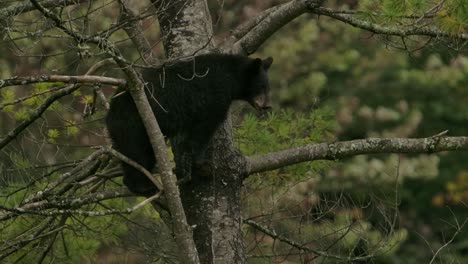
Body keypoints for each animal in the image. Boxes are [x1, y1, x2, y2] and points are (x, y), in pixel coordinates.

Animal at [105, 53, 274, 195]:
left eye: (267, 87)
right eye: (261, 87)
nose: (267, 106)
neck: (231, 76)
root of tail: (110, 112)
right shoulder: (215, 96)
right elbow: (204, 129)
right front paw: (201, 163)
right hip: (133, 124)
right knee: (136, 153)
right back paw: (143, 186)